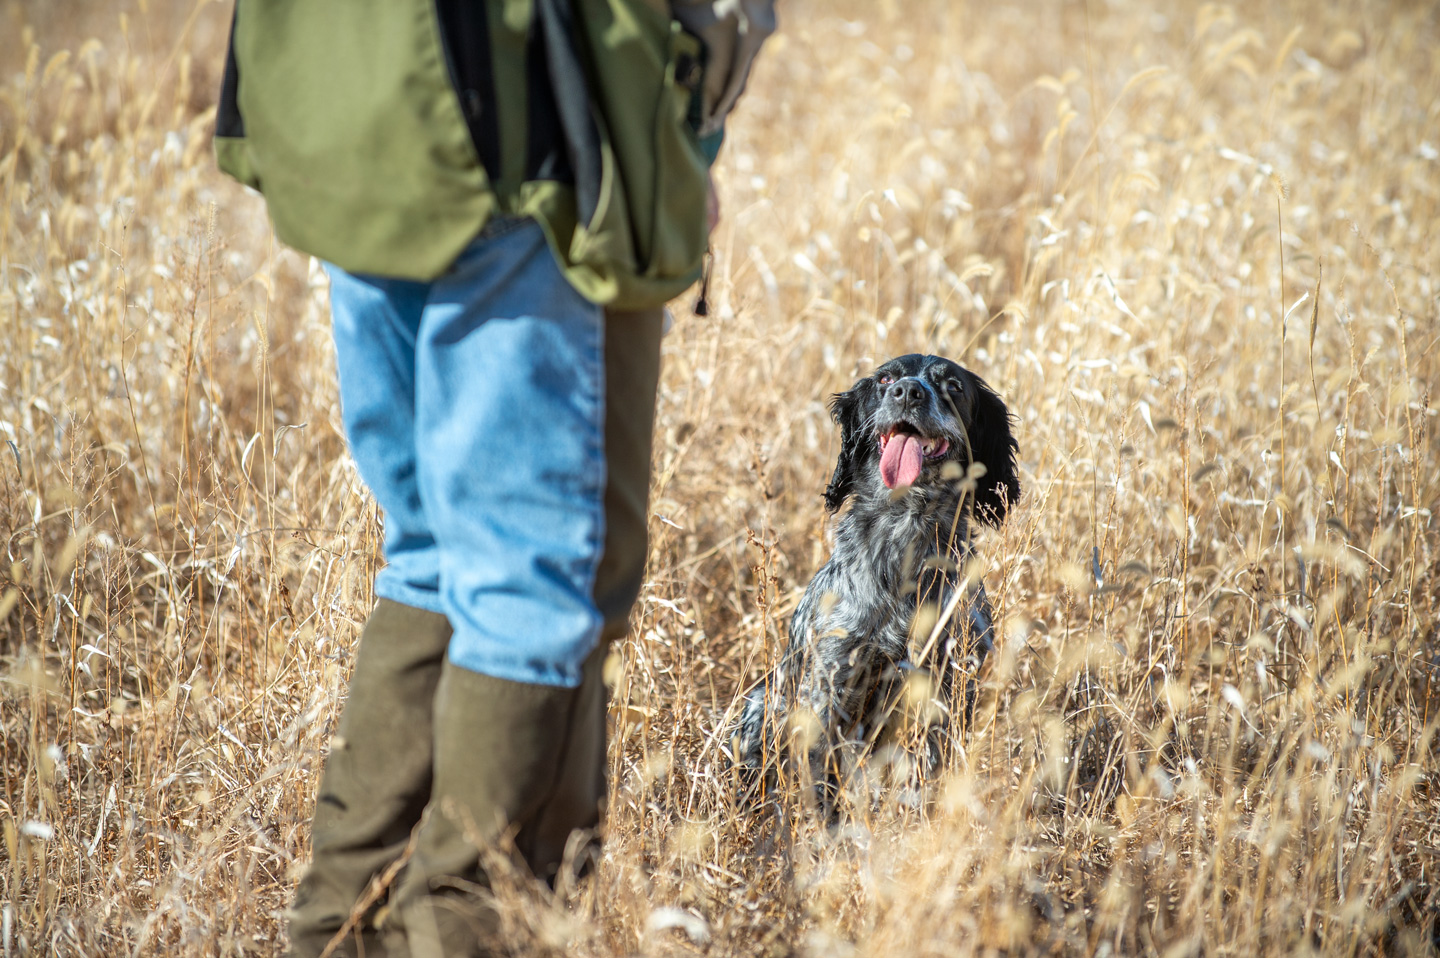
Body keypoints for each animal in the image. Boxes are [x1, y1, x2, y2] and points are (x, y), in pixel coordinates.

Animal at [737, 351, 1019, 800]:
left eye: (954, 386)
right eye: (886, 379)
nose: (908, 391)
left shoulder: (950, 686)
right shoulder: (832, 684)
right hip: (760, 706)